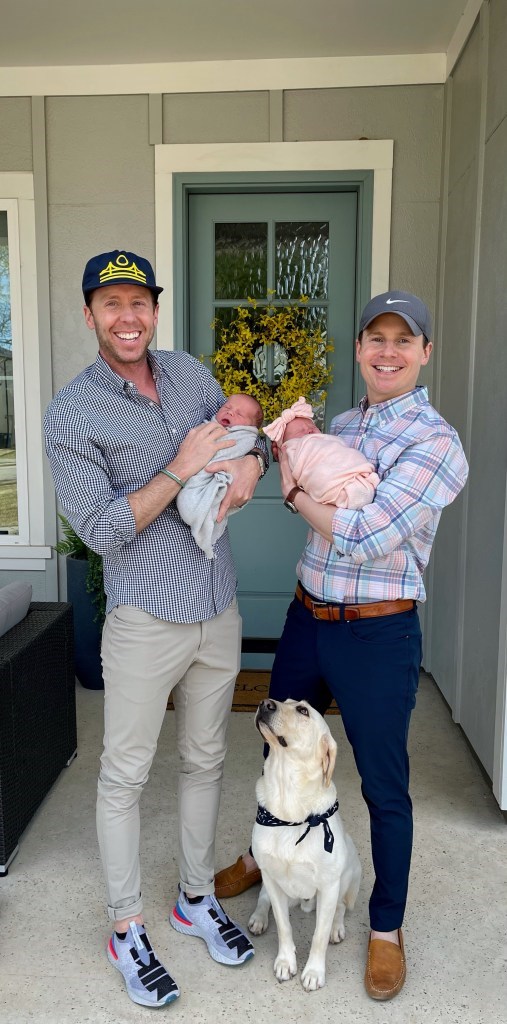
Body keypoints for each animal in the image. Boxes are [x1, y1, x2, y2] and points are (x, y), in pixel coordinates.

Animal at [246, 696, 358, 991]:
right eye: (283, 701)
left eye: (303, 710)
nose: (264, 703)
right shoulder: (272, 879)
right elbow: (284, 926)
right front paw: (286, 962)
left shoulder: (329, 886)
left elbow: (318, 936)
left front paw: (314, 972)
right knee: (263, 901)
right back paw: (258, 919)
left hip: (350, 872)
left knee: (340, 908)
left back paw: (336, 928)